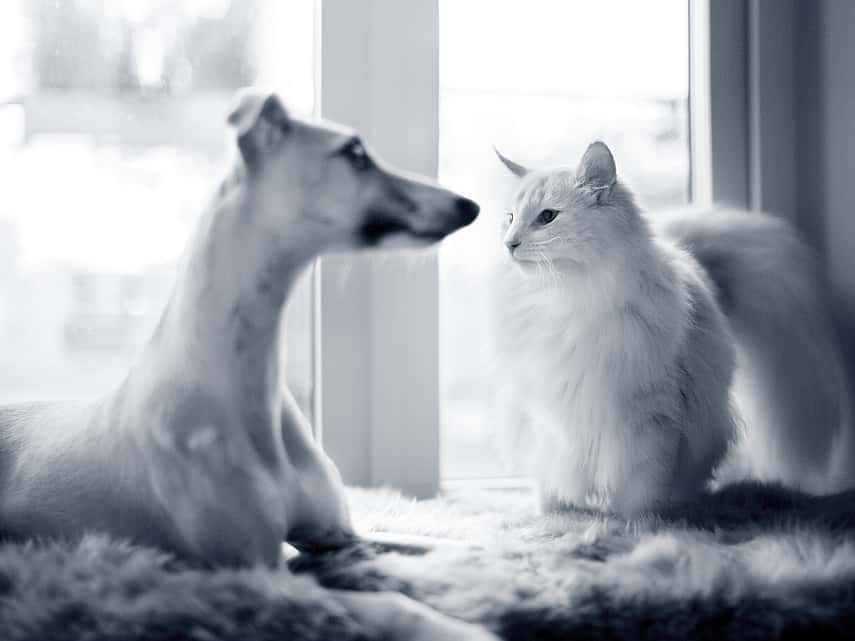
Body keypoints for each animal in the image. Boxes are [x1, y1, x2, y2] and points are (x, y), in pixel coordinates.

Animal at [0, 89, 494, 640]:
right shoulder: (261, 575)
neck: (244, 387)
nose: (471, 206)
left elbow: (447, 543)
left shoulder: (338, 535)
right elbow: (390, 602)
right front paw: (459, 626)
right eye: (355, 153)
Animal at [492, 141, 852, 516]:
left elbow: (638, 487)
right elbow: (553, 475)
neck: (568, 298)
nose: (509, 243)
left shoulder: (649, 417)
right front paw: (557, 515)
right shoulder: (550, 420)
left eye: (547, 217)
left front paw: (635, 522)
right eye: (511, 218)